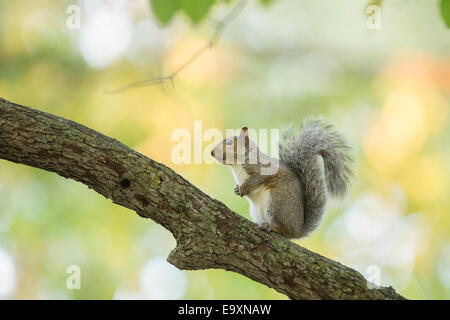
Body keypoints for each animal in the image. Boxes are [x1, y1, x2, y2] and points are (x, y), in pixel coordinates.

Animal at [212, 119, 356, 239]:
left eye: (229, 143)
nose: (212, 152)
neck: (236, 165)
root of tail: (298, 231)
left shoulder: (262, 168)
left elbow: (256, 179)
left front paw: (242, 188)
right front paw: (237, 188)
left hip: (277, 203)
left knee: (285, 231)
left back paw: (272, 227)